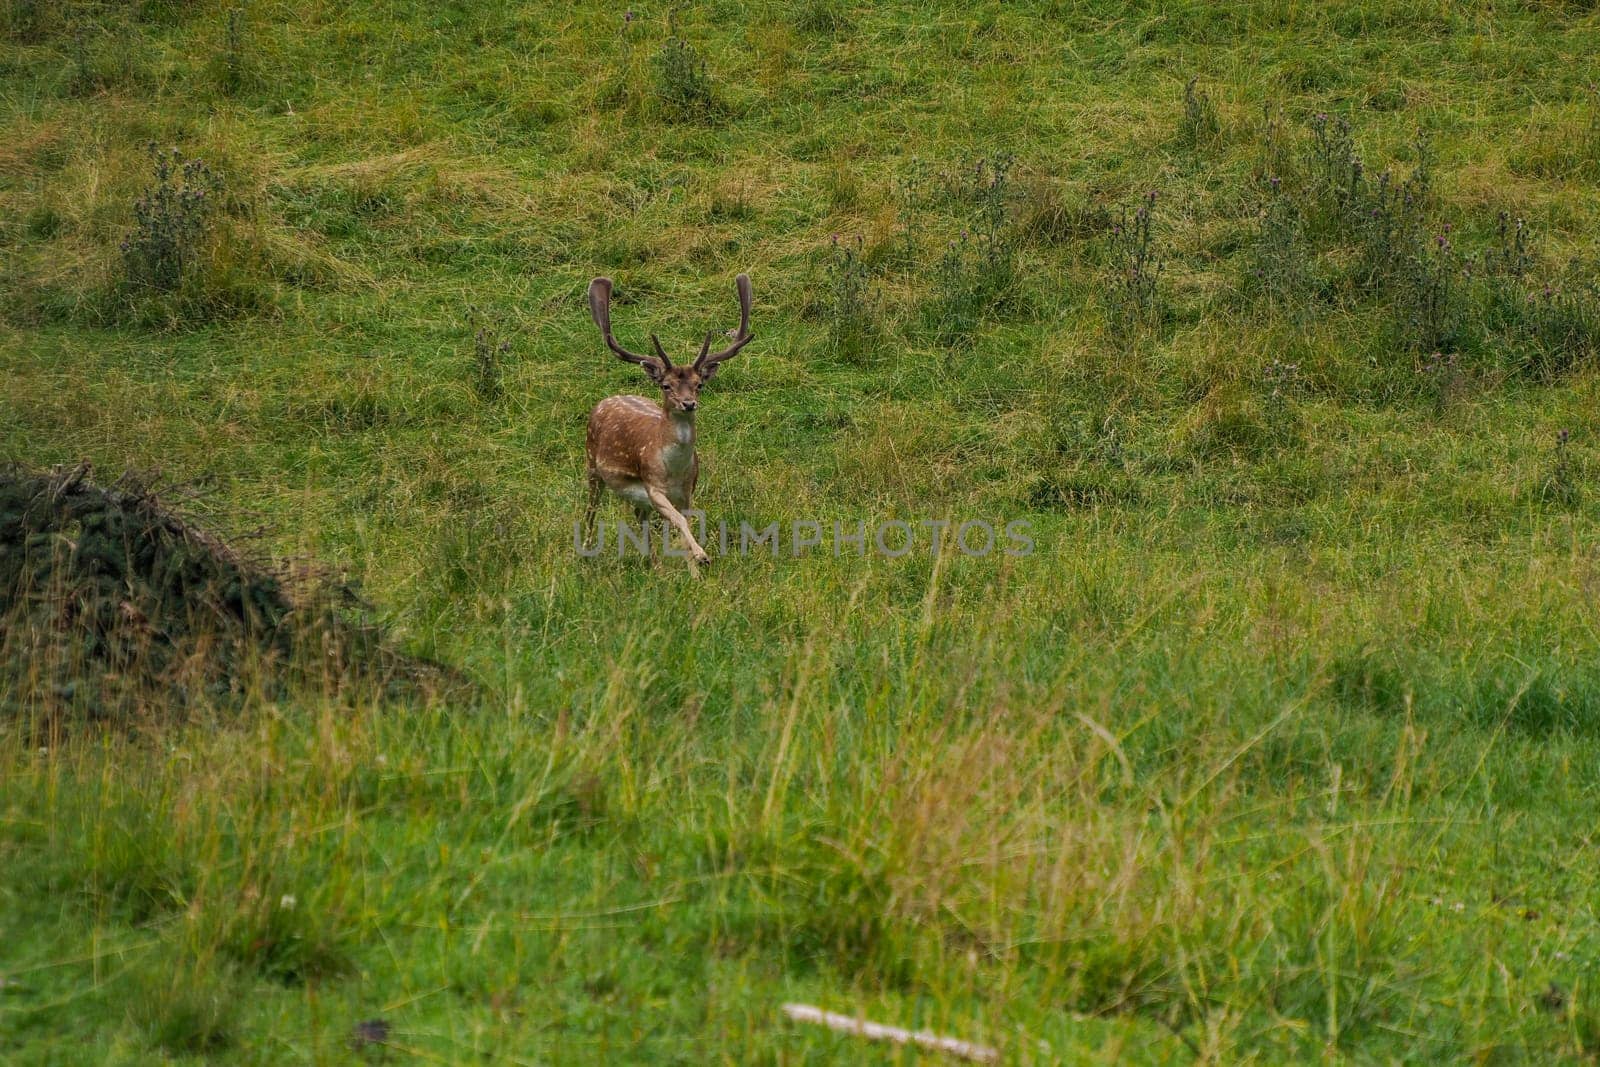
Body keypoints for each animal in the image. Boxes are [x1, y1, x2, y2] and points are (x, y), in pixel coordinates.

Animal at [579, 275, 752, 575]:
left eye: (699, 384)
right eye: (666, 385)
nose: (688, 403)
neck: (673, 470)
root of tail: (606, 399)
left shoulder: (687, 490)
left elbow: (685, 525)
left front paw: (695, 572)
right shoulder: (653, 484)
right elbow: (679, 523)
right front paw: (703, 556)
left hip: (637, 496)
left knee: (642, 518)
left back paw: (654, 564)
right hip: (592, 465)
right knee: (591, 510)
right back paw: (586, 554)